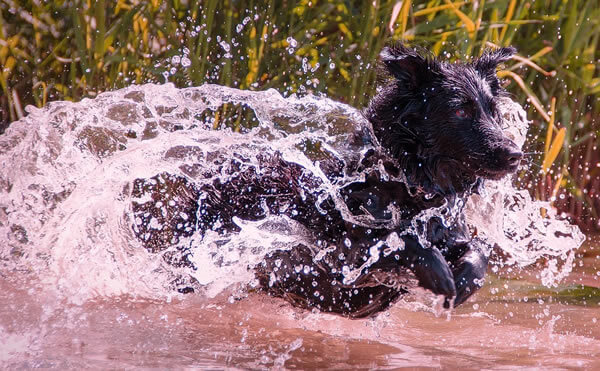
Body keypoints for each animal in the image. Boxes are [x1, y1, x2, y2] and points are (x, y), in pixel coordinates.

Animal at [131, 42, 520, 316]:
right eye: (459, 111)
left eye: (494, 111)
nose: (515, 154)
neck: (404, 185)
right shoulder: (336, 257)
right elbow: (398, 241)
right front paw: (438, 270)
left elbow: (479, 250)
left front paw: (466, 278)